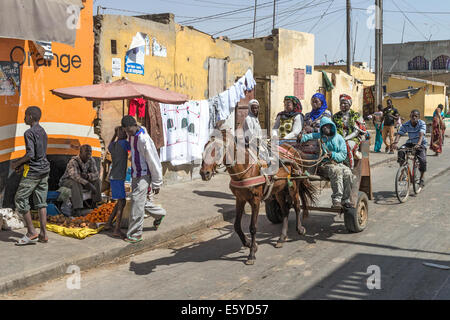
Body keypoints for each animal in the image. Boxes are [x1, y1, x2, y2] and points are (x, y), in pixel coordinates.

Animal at [200, 130, 316, 264]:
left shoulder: (255, 200)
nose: (204, 173)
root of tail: (292, 148)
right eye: (203, 150)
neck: (245, 168)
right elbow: (236, 226)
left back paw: (300, 228)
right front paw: (250, 244)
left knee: (297, 206)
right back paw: (281, 238)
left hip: (294, 185)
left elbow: (253, 227)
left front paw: (251, 254)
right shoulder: (240, 199)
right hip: (279, 190)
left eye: (217, 150)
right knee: (285, 211)